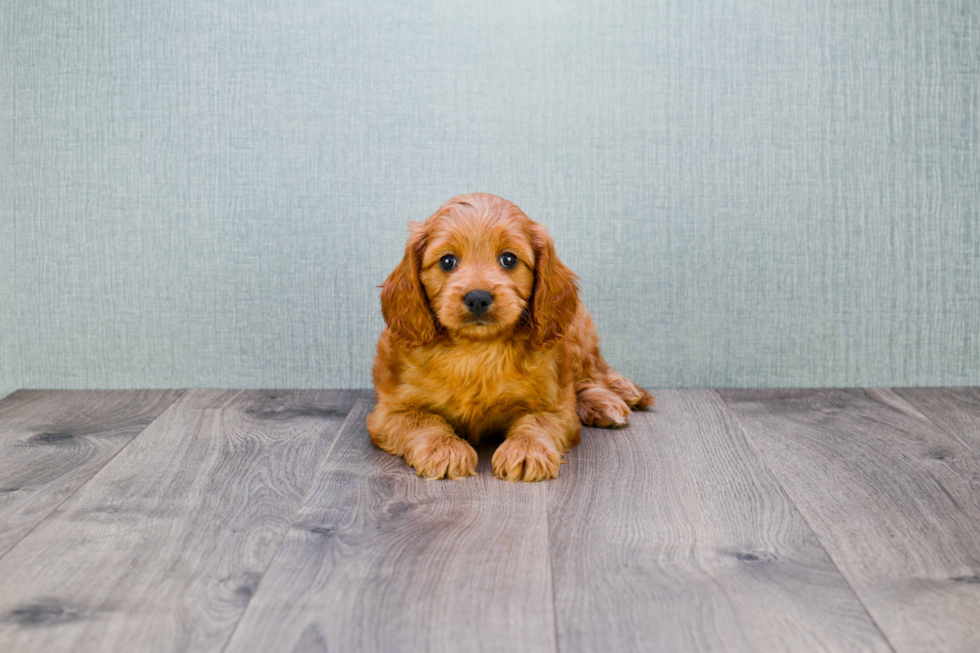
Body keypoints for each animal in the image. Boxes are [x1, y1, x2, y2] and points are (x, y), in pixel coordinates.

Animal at [366, 192, 652, 478]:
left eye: (509, 259)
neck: (478, 349)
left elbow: (537, 420)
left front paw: (527, 450)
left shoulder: (557, 407)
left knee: (590, 373)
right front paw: (444, 448)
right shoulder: (390, 411)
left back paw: (611, 398)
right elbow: (422, 419)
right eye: (447, 261)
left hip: (576, 332)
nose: (477, 298)